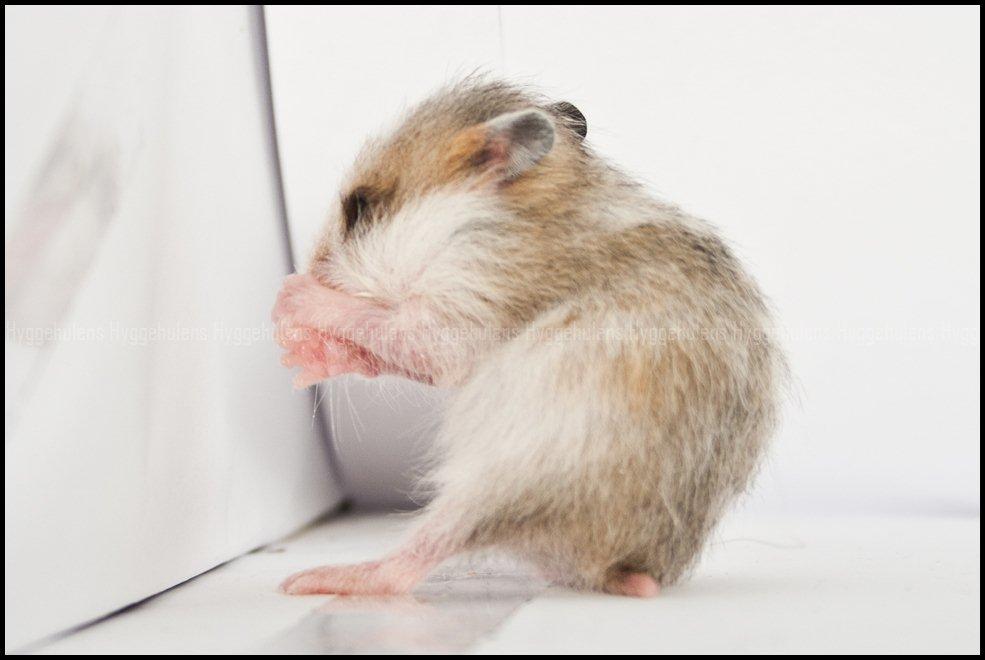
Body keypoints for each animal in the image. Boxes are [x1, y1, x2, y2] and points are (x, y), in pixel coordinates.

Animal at [273, 77, 784, 597]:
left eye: (360, 208)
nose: (308, 269)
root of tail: (627, 567)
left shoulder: (473, 293)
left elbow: (397, 331)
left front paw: (290, 299)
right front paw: (306, 357)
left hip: (513, 471)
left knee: (418, 557)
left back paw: (318, 580)